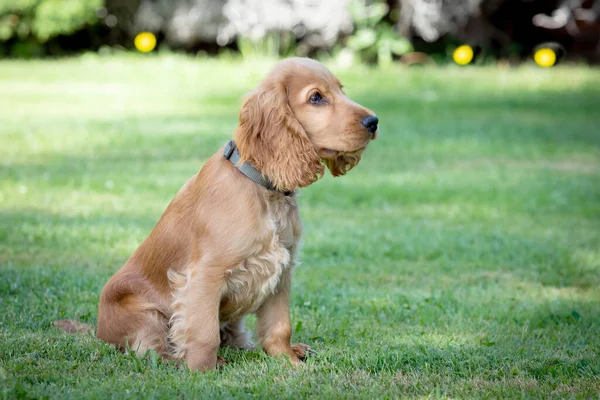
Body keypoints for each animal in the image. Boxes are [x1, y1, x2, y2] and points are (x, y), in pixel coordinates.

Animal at [97, 57, 380, 372]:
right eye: (316, 97)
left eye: (341, 89)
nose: (373, 121)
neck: (264, 188)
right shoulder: (205, 274)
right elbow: (203, 333)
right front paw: (201, 371)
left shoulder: (282, 269)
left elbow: (279, 327)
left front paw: (290, 361)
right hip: (143, 313)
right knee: (152, 348)